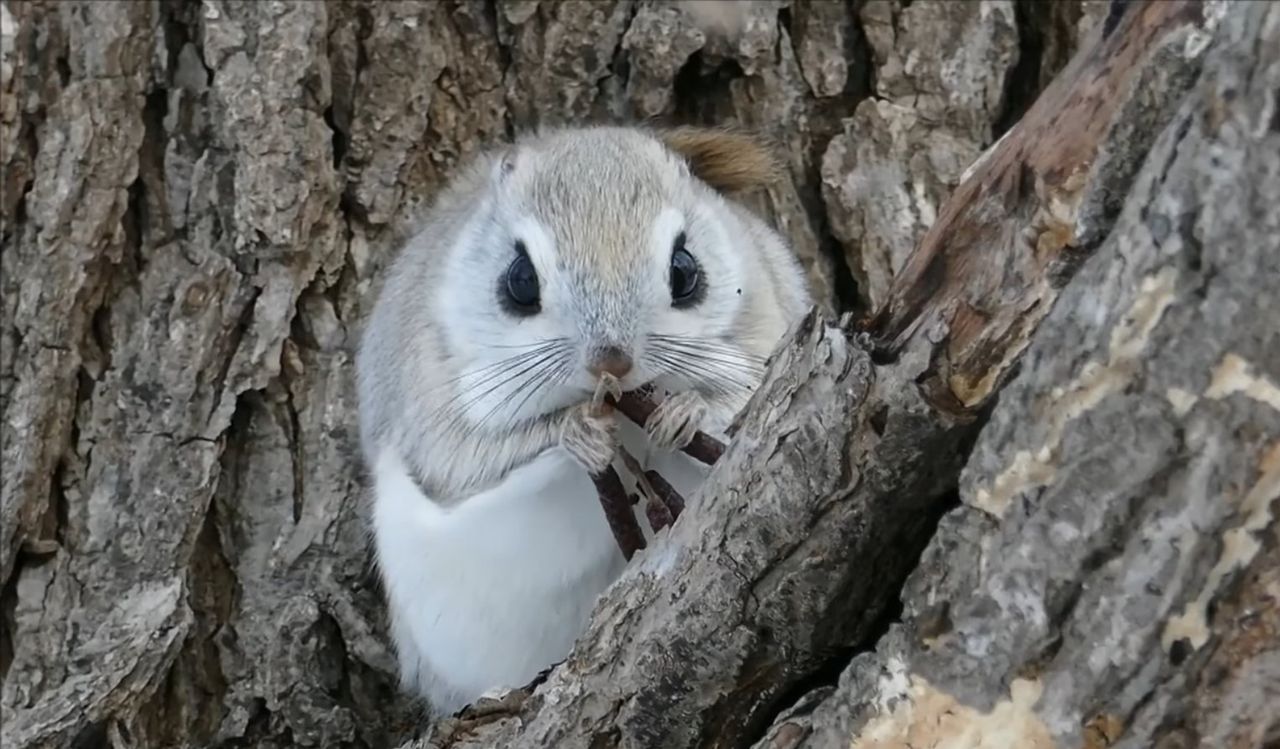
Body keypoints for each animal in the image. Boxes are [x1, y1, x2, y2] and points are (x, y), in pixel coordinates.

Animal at [353, 122, 808, 711]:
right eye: (520, 279)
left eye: (685, 270)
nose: (610, 361)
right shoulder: (433, 402)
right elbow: (468, 463)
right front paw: (581, 432)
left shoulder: (770, 329)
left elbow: (744, 398)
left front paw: (684, 412)